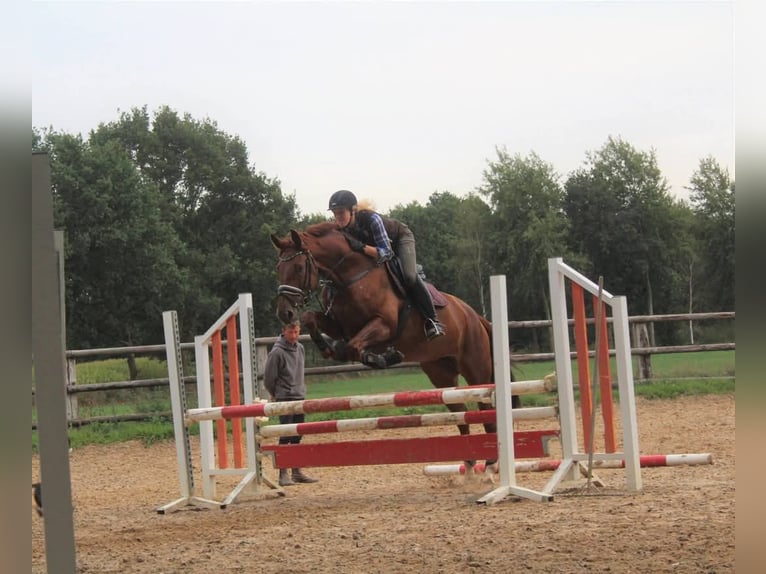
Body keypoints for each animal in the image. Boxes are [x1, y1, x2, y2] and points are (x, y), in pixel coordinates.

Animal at [268, 223, 516, 456]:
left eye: (299, 267)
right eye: (278, 268)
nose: (284, 313)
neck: (351, 277)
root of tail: (476, 316)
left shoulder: (384, 324)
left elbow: (353, 347)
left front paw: (382, 357)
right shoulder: (340, 326)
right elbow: (311, 319)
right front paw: (329, 348)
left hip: (476, 371)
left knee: (486, 414)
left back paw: (490, 463)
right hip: (441, 373)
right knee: (460, 415)